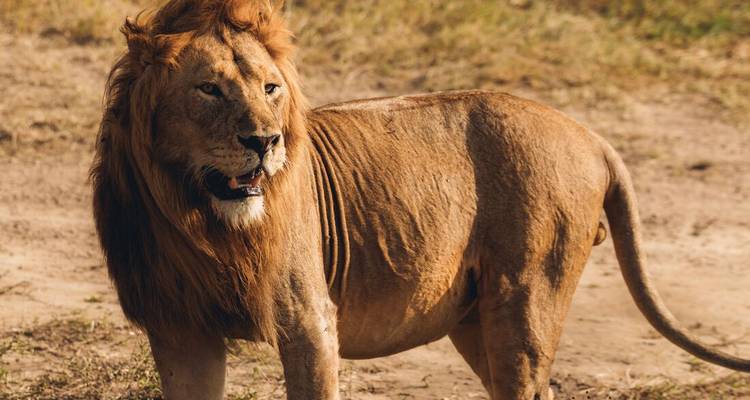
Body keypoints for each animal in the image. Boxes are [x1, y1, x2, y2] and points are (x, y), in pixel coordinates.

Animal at [90, 1, 750, 399]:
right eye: (209, 90)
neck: (200, 224)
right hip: (476, 318)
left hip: (526, 302)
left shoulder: (308, 318)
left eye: (270, 89)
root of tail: (588, 133)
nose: (264, 141)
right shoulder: (179, 327)